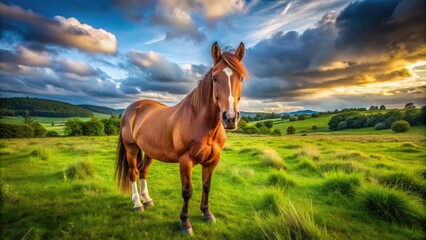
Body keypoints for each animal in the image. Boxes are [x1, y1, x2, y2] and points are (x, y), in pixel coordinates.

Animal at [115, 41, 248, 234]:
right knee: (133, 172)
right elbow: (187, 191)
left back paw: (147, 200)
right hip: (131, 148)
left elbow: (206, 186)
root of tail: (131, 108)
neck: (200, 121)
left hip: (149, 151)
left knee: (143, 170)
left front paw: (207, 214)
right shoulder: (185, 160)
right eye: (215, 78)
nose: (230, 118)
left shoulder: (212, 160)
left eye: (241, 78)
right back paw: (137, 204)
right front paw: (186, 224)